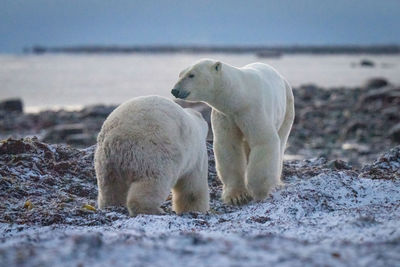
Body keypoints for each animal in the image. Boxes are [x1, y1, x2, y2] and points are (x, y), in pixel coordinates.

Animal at [171, 58, 294, 205]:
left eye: (191, 75)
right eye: (179, 74)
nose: (174, 90)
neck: (240, 96)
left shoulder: (253, 110)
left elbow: (263, 140)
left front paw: (258, 190)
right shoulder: (226, 115)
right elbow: (229, 146)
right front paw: (237, 196)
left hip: (288, 105)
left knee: (281, 141)